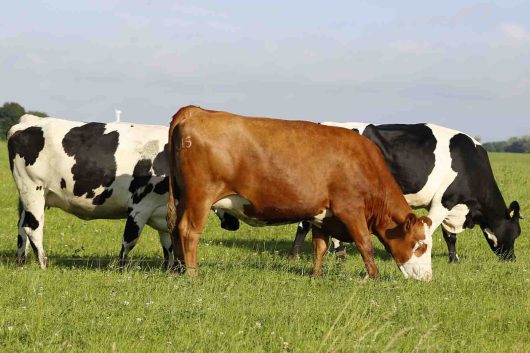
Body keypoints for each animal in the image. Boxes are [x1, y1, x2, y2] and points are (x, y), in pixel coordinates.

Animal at [6, 115, 235, 266]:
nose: (233, 225)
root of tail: (30, 120)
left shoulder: (163, 211)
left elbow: (168, 242)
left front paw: (171, 268)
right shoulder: (141, 205)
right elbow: (130, 239)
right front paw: (120, 267)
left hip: (30, 196)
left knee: (21, 228)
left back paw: (21, 261)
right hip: (33, 189)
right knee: (33, 228)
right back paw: (42, 263)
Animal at [166, 105, 434, 280]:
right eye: (420, 245)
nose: (428, 277)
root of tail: (195, 110)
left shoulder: (322, 215)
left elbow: (320, 247)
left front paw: (316, 276)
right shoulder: (350, 209)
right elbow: (364, 243)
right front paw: (375, 277)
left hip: (182, 197)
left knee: (175, 229)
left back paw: (177, 269)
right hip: (200, 197)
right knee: (189, 231)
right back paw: (192, 274)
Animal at [288, 121, 520, 262]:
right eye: (517, 232)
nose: (512, 259)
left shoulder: (450, 204)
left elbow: (449, 236)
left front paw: (453, 259)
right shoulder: (444, 201)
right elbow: (430, 229)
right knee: (304, 224)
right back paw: (304, 254)